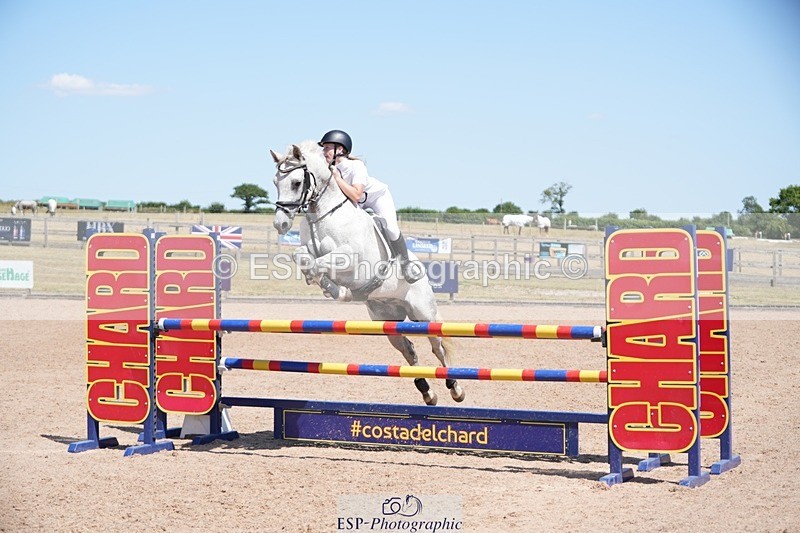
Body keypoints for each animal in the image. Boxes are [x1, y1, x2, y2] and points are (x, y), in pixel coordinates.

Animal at [269, 141, 465, 406]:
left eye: (297, 183)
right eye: (275, 182)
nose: (281, 225)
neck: (324, 213)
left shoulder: (350, 257)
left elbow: (321, 262)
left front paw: (335, 289)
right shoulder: (310, 249)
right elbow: (302, 256)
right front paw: (329, 287)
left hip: (424, 314)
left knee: (438, 347)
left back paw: (455, 388)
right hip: (387, 320)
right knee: (409, 350)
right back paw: (428, 393)